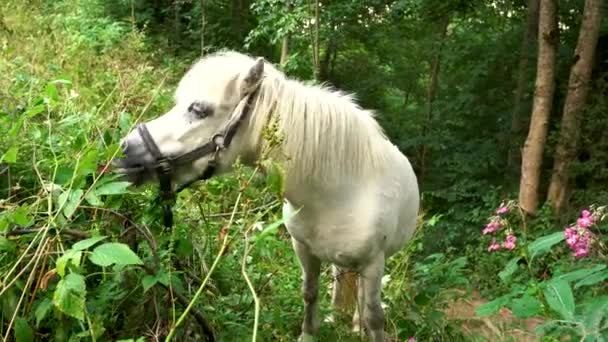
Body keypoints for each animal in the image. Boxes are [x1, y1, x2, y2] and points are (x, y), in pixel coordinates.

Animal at [115, 49, 418, 340]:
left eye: (199, 109)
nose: (125, 149)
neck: (338, 194)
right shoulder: (304, 249)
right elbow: (310, 294)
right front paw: (309, 334)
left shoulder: (373, 263)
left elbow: (374, 317)